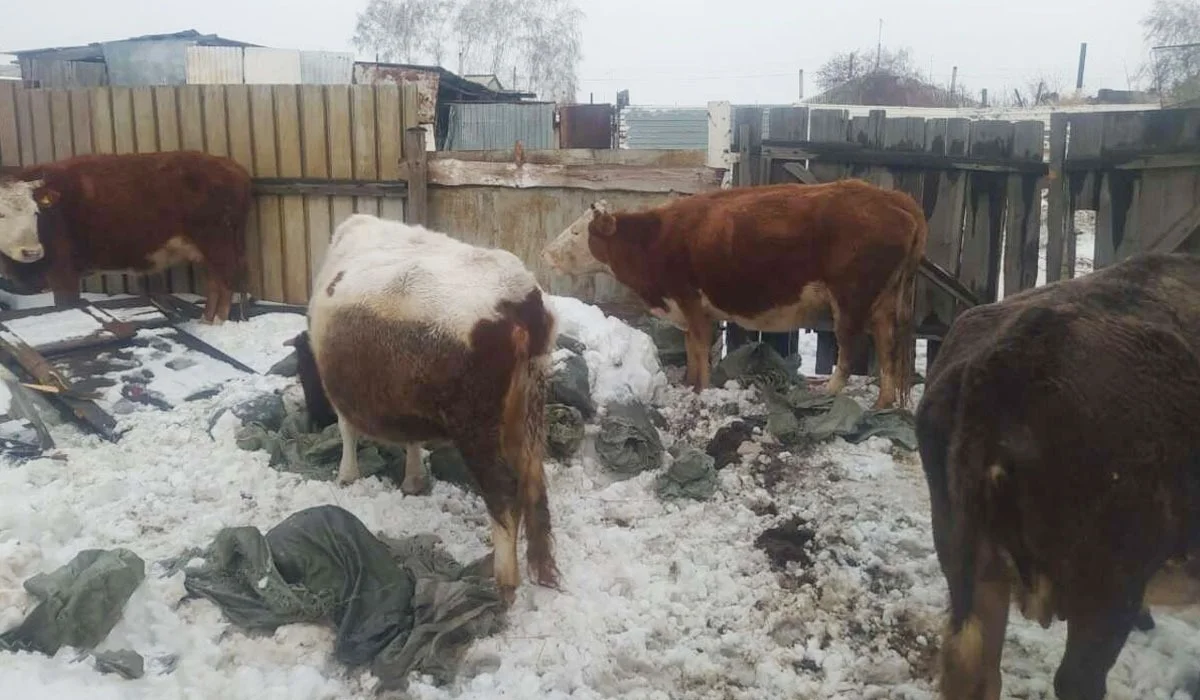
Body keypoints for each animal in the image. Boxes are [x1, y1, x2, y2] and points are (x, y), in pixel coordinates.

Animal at [0, 151, 250, 324]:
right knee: (214, 282)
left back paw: (216, 322)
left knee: (226, 282)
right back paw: (206, 320)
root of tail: (231, 167)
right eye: (1, 213)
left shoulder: (63, 273)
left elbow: (67, 305)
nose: (32, 252)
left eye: (35, 211)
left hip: (218, 244)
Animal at [304, 211, 556, 605]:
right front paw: (413, 479)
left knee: (503, 496)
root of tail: (520, 302)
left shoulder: (341, 390)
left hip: (476, 426)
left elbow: (347, 429)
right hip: (530, 406)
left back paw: (504, 583)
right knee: (533, 482)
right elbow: (411, 438)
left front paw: (347, 475)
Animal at [544, 178, 926, 410]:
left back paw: (827, 391)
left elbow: (699, 346)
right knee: (888, 345)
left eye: (577, 232)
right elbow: (691, 348)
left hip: (850, 299)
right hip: (883, 300)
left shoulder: (688, 298)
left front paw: (700, 389)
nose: (548, 252)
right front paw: (690, 382)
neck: (654, 240)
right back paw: (883, 401)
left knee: (850, 347)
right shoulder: (690, 307)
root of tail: (895, 197)